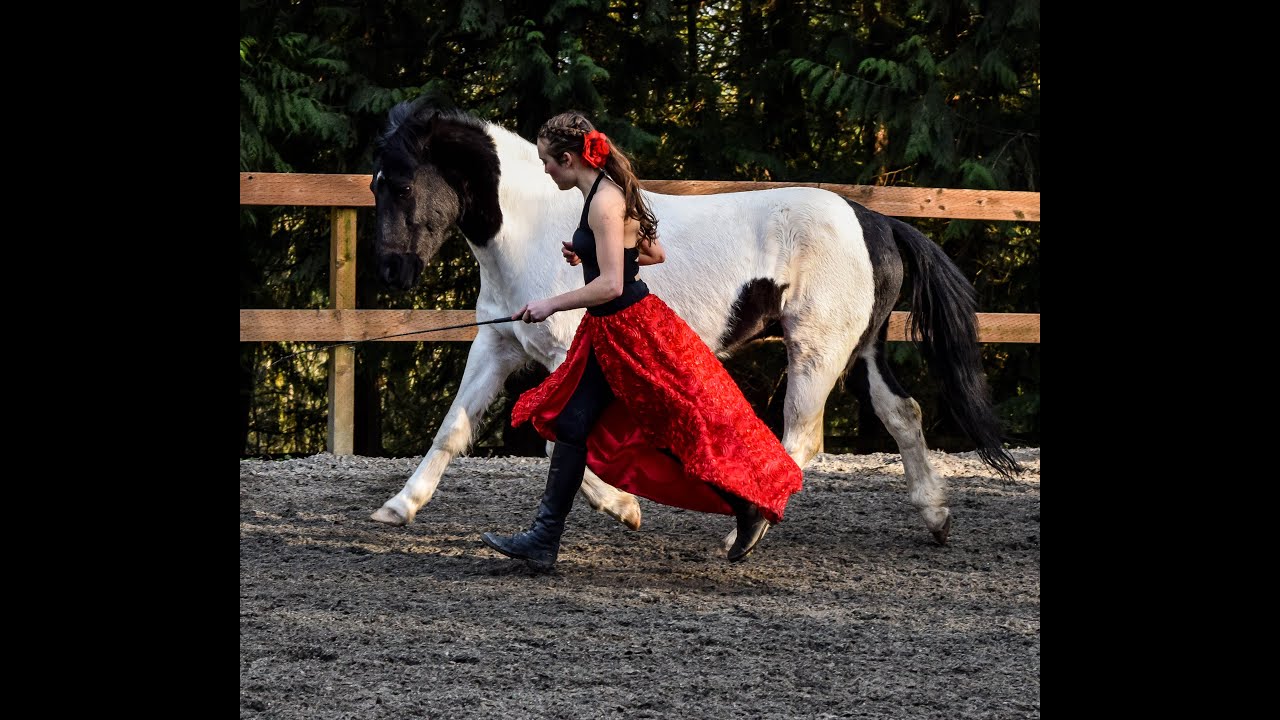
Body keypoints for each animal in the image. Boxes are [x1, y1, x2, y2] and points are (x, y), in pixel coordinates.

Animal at [366, 98, 1020, 546]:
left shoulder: (562, 352)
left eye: (403, 185)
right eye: (375, 186)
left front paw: (624, 506)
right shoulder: (498, 343)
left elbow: (561, 435)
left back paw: (742, 532)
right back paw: (935, 515)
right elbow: (452, 429)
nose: (391, 270)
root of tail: (874, 219)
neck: (532, 230)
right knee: (903, 413)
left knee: (801, 441)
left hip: (816, 352)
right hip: (860, 352)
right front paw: (399, 507)